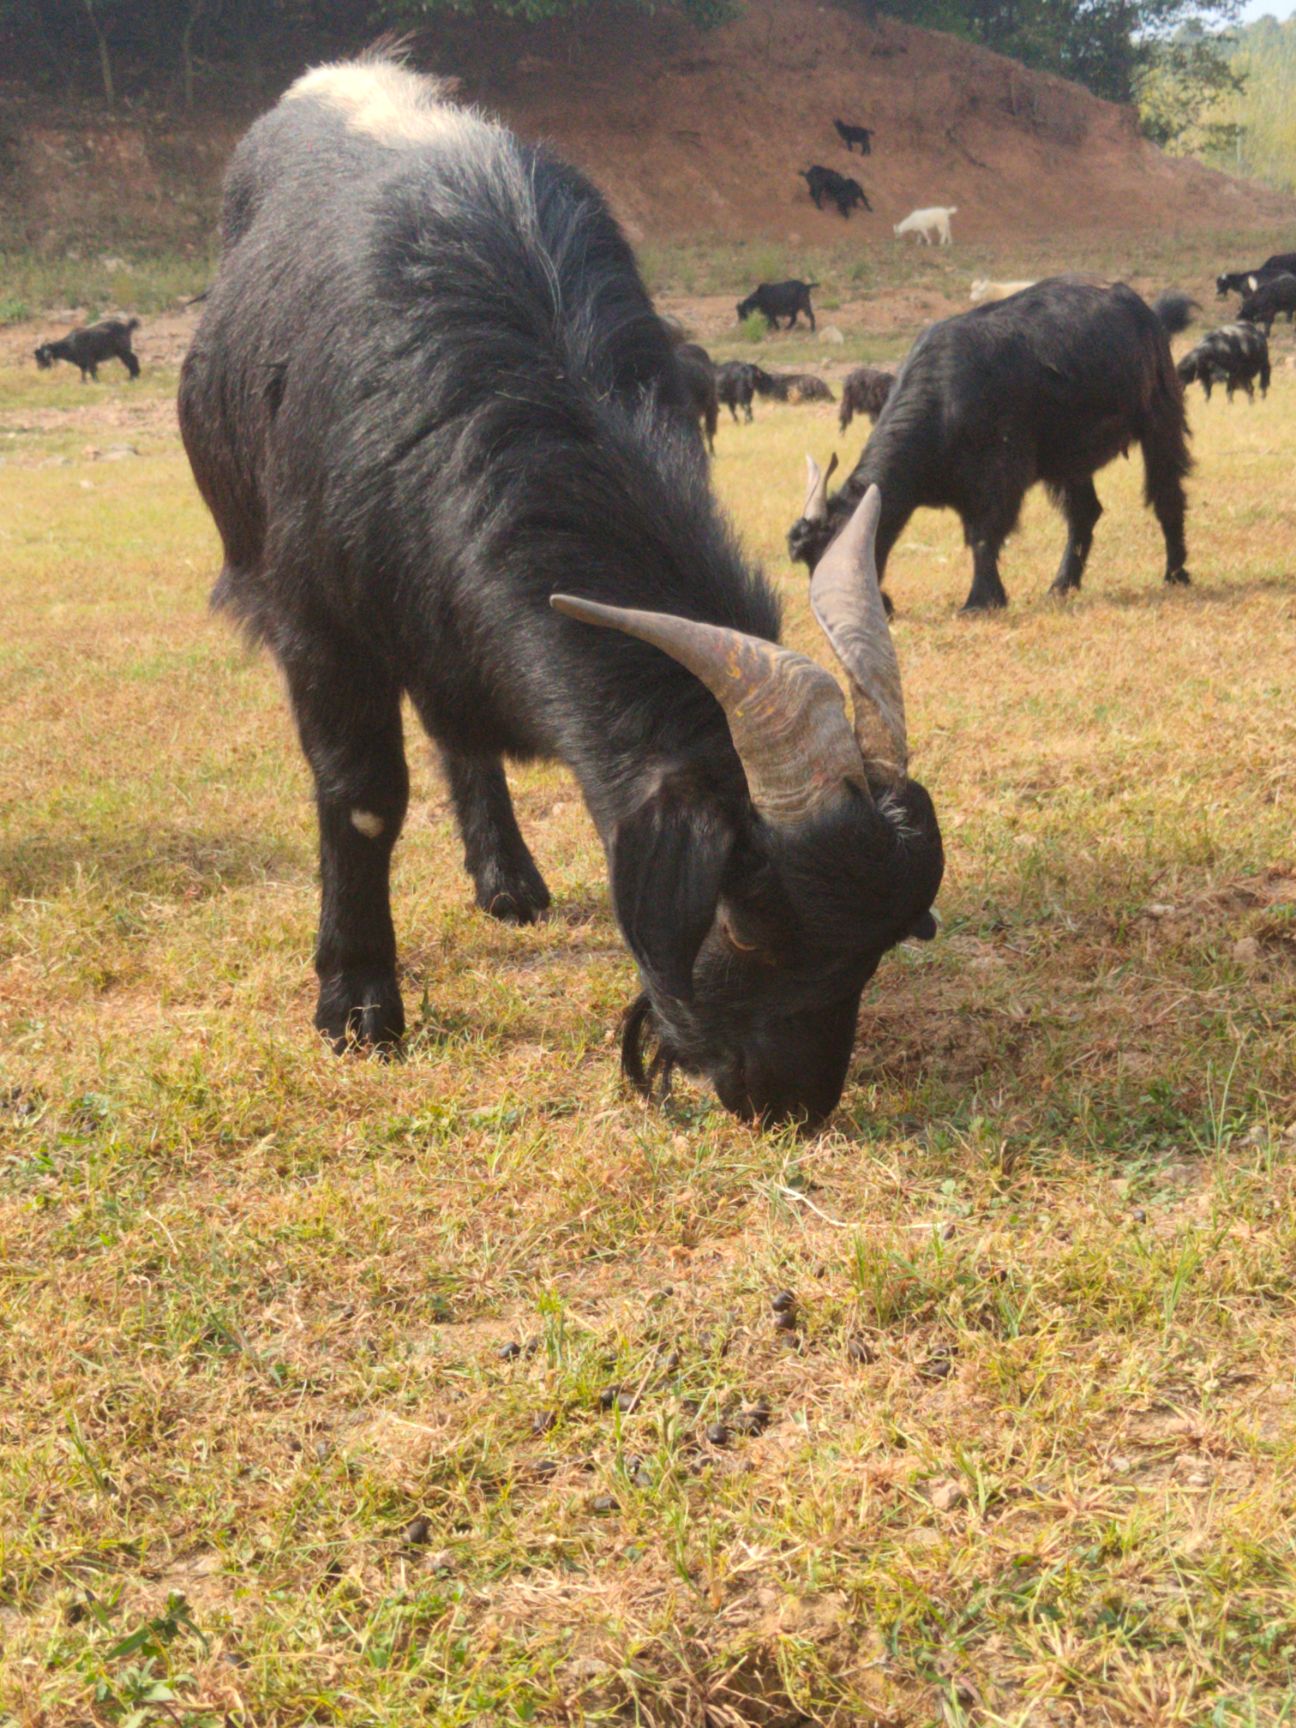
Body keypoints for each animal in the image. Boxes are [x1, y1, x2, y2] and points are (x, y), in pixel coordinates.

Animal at [177, 57, 946, 1133]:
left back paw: (509, 881)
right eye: (746, 918)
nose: (787, 1102)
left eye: (880, 946)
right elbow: (362, 801)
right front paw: (357, 1003)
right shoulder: (319, 624)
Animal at [787, 279, 1195, 611]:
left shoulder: (1000, 476)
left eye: (836, 548)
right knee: (1084, 513)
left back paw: (1176, 573)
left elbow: (983, 535)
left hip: (1161, 422)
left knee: (1167, 496)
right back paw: (1062, 584)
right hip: (1068, 460)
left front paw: (980, 600)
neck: (944, 400)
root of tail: (1142, 309)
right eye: (809, 558)